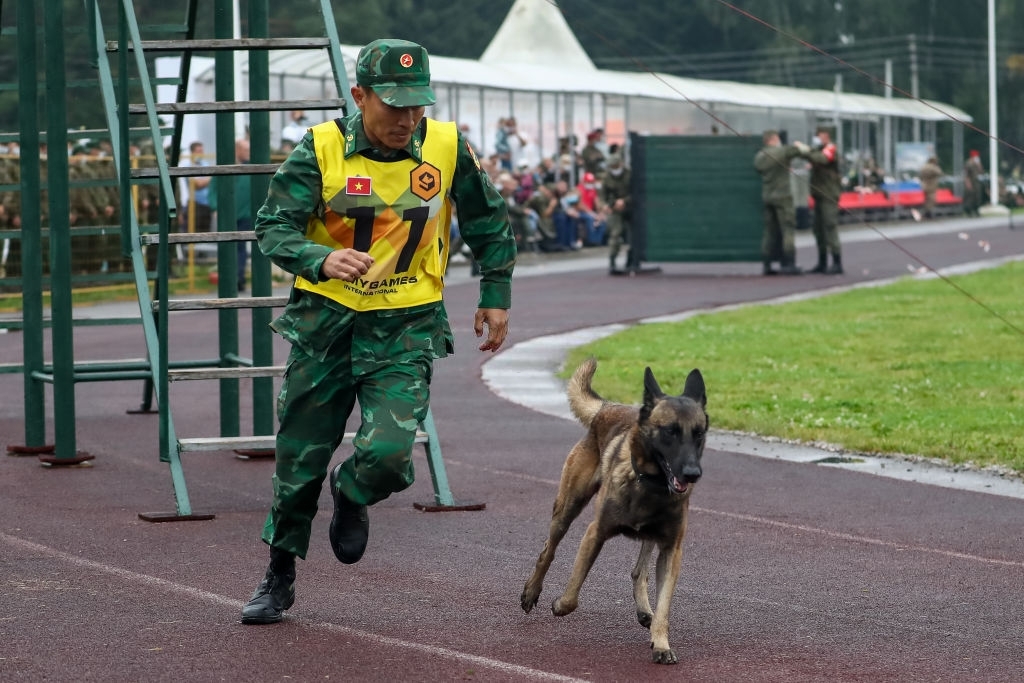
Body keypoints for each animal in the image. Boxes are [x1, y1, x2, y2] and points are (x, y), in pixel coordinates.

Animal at [524, 360, 708, 663]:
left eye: (699, 433)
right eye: (670, 431)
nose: (693, 473)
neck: (651, 484)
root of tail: (607, 407)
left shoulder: (671, 550)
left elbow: (664, 607)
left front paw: (661, 644)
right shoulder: (595, 533)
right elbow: (573, 593)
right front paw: (559, 604)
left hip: (650, 537)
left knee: (639, 572)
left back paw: (645, 610)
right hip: (567, 509)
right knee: (547, 551)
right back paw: (530, 592)